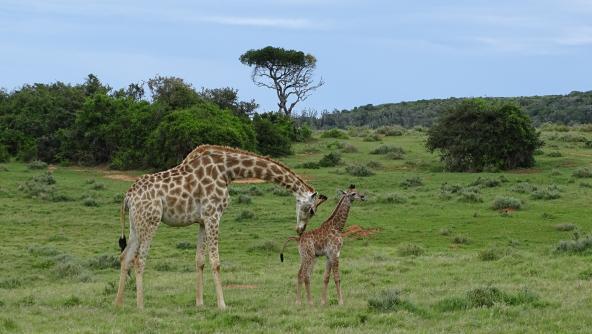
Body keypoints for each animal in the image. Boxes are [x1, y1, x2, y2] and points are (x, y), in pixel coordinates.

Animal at [113, 145, 326, 310]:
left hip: (136, 224)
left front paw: (199, 303)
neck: (228, 171)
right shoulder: (213, 215)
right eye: (311, 210)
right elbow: (215, 262)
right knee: (139, 259)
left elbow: (199, 260)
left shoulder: (202, 220)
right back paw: (140, 305)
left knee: (125, 257)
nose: (300, 230)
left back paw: (119, 304)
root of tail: (127, 196)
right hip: (151, 221)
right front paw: (222, 304)